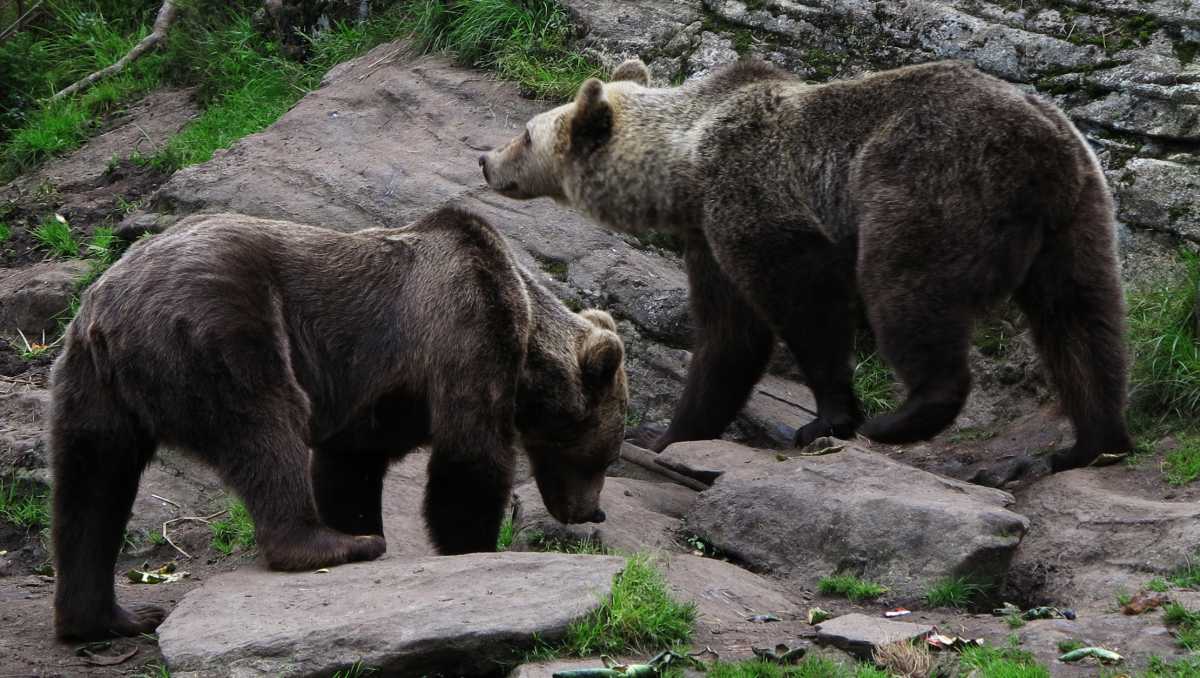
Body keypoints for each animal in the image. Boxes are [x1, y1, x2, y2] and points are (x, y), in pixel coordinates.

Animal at [49, 206, 628, 639]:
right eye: (604, 456)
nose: (592, 512)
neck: (528, 340)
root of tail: (108, 309)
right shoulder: (466, 328)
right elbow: (470, 459)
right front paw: (472, 546)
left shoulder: (384, 394)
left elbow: (349, 466)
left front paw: (363, 522)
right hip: (220, 325)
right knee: (264, 427)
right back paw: (328, 545)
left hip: (88, 384)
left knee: (92, 488)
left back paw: (110, 616)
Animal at [480, 59, 1132, 473]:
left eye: (526, 133)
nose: (486, 159)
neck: (684, 169)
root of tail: (1037, 149)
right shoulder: (708, 237)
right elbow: (728, 338)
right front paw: (663, 431)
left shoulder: (752, 199)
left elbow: (801, 303)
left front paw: (827, 419)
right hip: (1078, 215)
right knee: (1083, 320)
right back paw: (1090, 442)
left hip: (928, 183)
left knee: (906, 291)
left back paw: (905, 416)